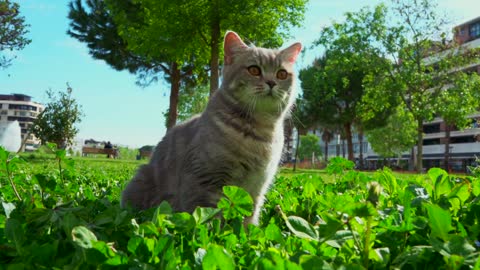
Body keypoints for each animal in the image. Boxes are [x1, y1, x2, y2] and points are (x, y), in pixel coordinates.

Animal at [121, 30, 300, 224]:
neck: (259, 130)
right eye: (254, 70)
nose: (271, 82)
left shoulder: (257, 187)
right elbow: (208, 216)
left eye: (282, 74)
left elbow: (249, 219)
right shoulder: (205, 180)